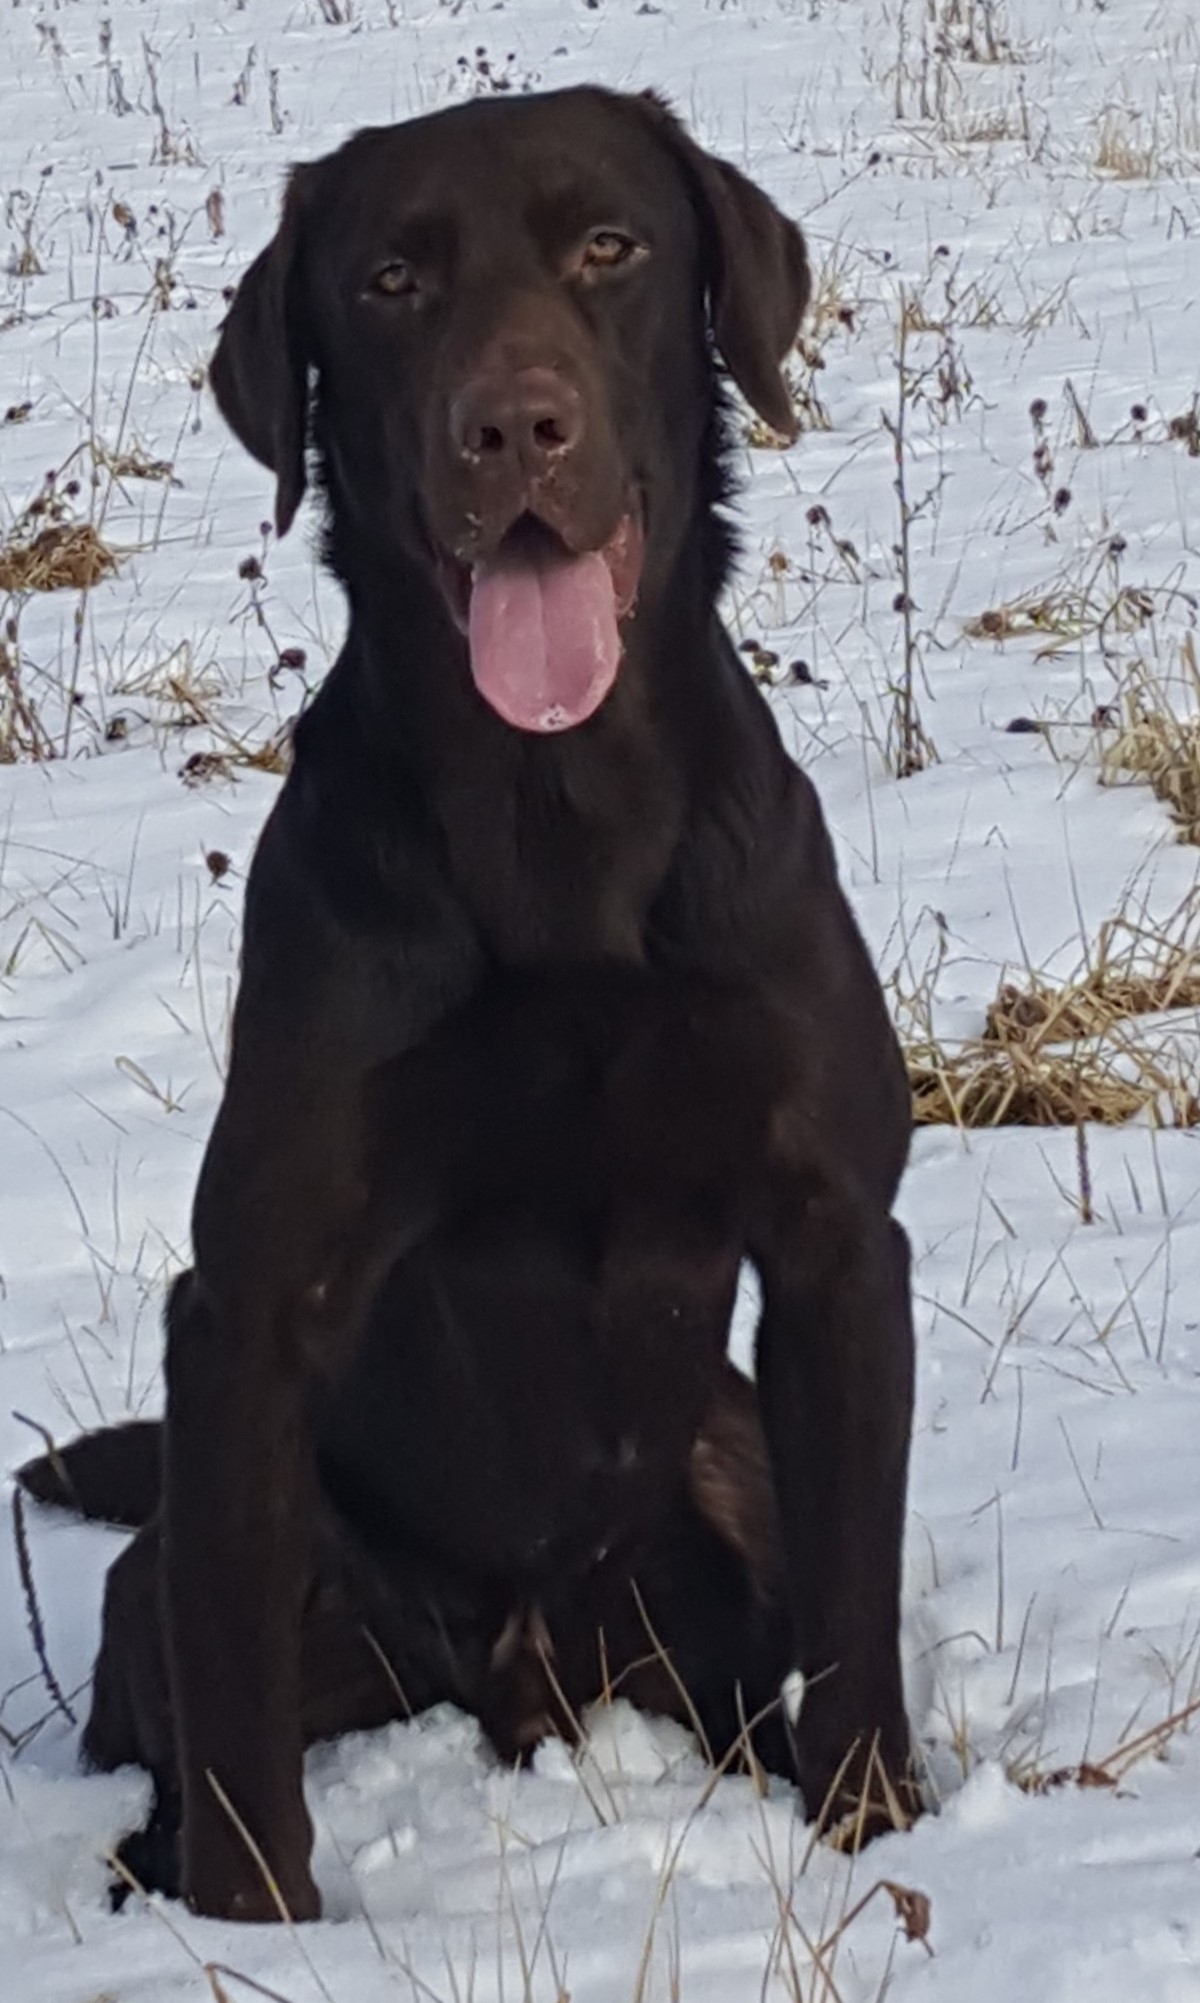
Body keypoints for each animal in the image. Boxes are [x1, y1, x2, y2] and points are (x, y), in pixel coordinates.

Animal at [14, 86, 921, 1914]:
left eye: (611, 246)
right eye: (389, 280)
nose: (515, 430)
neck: (555, 818)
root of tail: (526, 1672)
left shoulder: (840, 1236)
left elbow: (858, 1619)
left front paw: (871, 1833)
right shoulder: (252, 1305)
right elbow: (237, 1714)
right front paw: (255, 1922)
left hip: (730, 1456)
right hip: (204, 1540)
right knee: (175, 1683)